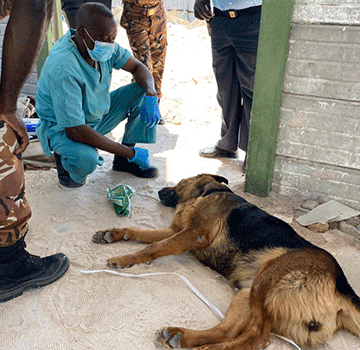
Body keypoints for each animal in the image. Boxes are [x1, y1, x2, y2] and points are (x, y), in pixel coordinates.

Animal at [93, 174, 360, 348]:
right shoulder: (176, 232)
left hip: (266, 279)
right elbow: (139, 233)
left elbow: (153, 246)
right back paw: (182, 337)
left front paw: (125, 257)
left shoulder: (192, 234)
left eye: (181, 182)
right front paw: (114, 234)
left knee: (257, 337)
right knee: (228, 330)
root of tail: (342, 287)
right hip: (248, 293)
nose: (159, 191)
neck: (210, 192)